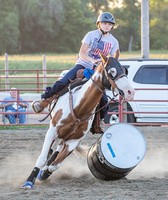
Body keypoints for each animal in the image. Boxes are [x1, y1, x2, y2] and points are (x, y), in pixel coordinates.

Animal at [22, 54, 135, 188]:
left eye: (124, 71)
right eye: (111, 71)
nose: (130, 92)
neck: (79, 108)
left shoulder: (74, 141)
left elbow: (55, 165)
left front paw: (43, 173)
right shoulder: (52, 132)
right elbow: (42, 159)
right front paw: (29, 181)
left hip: (67, 137)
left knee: (58, 149)